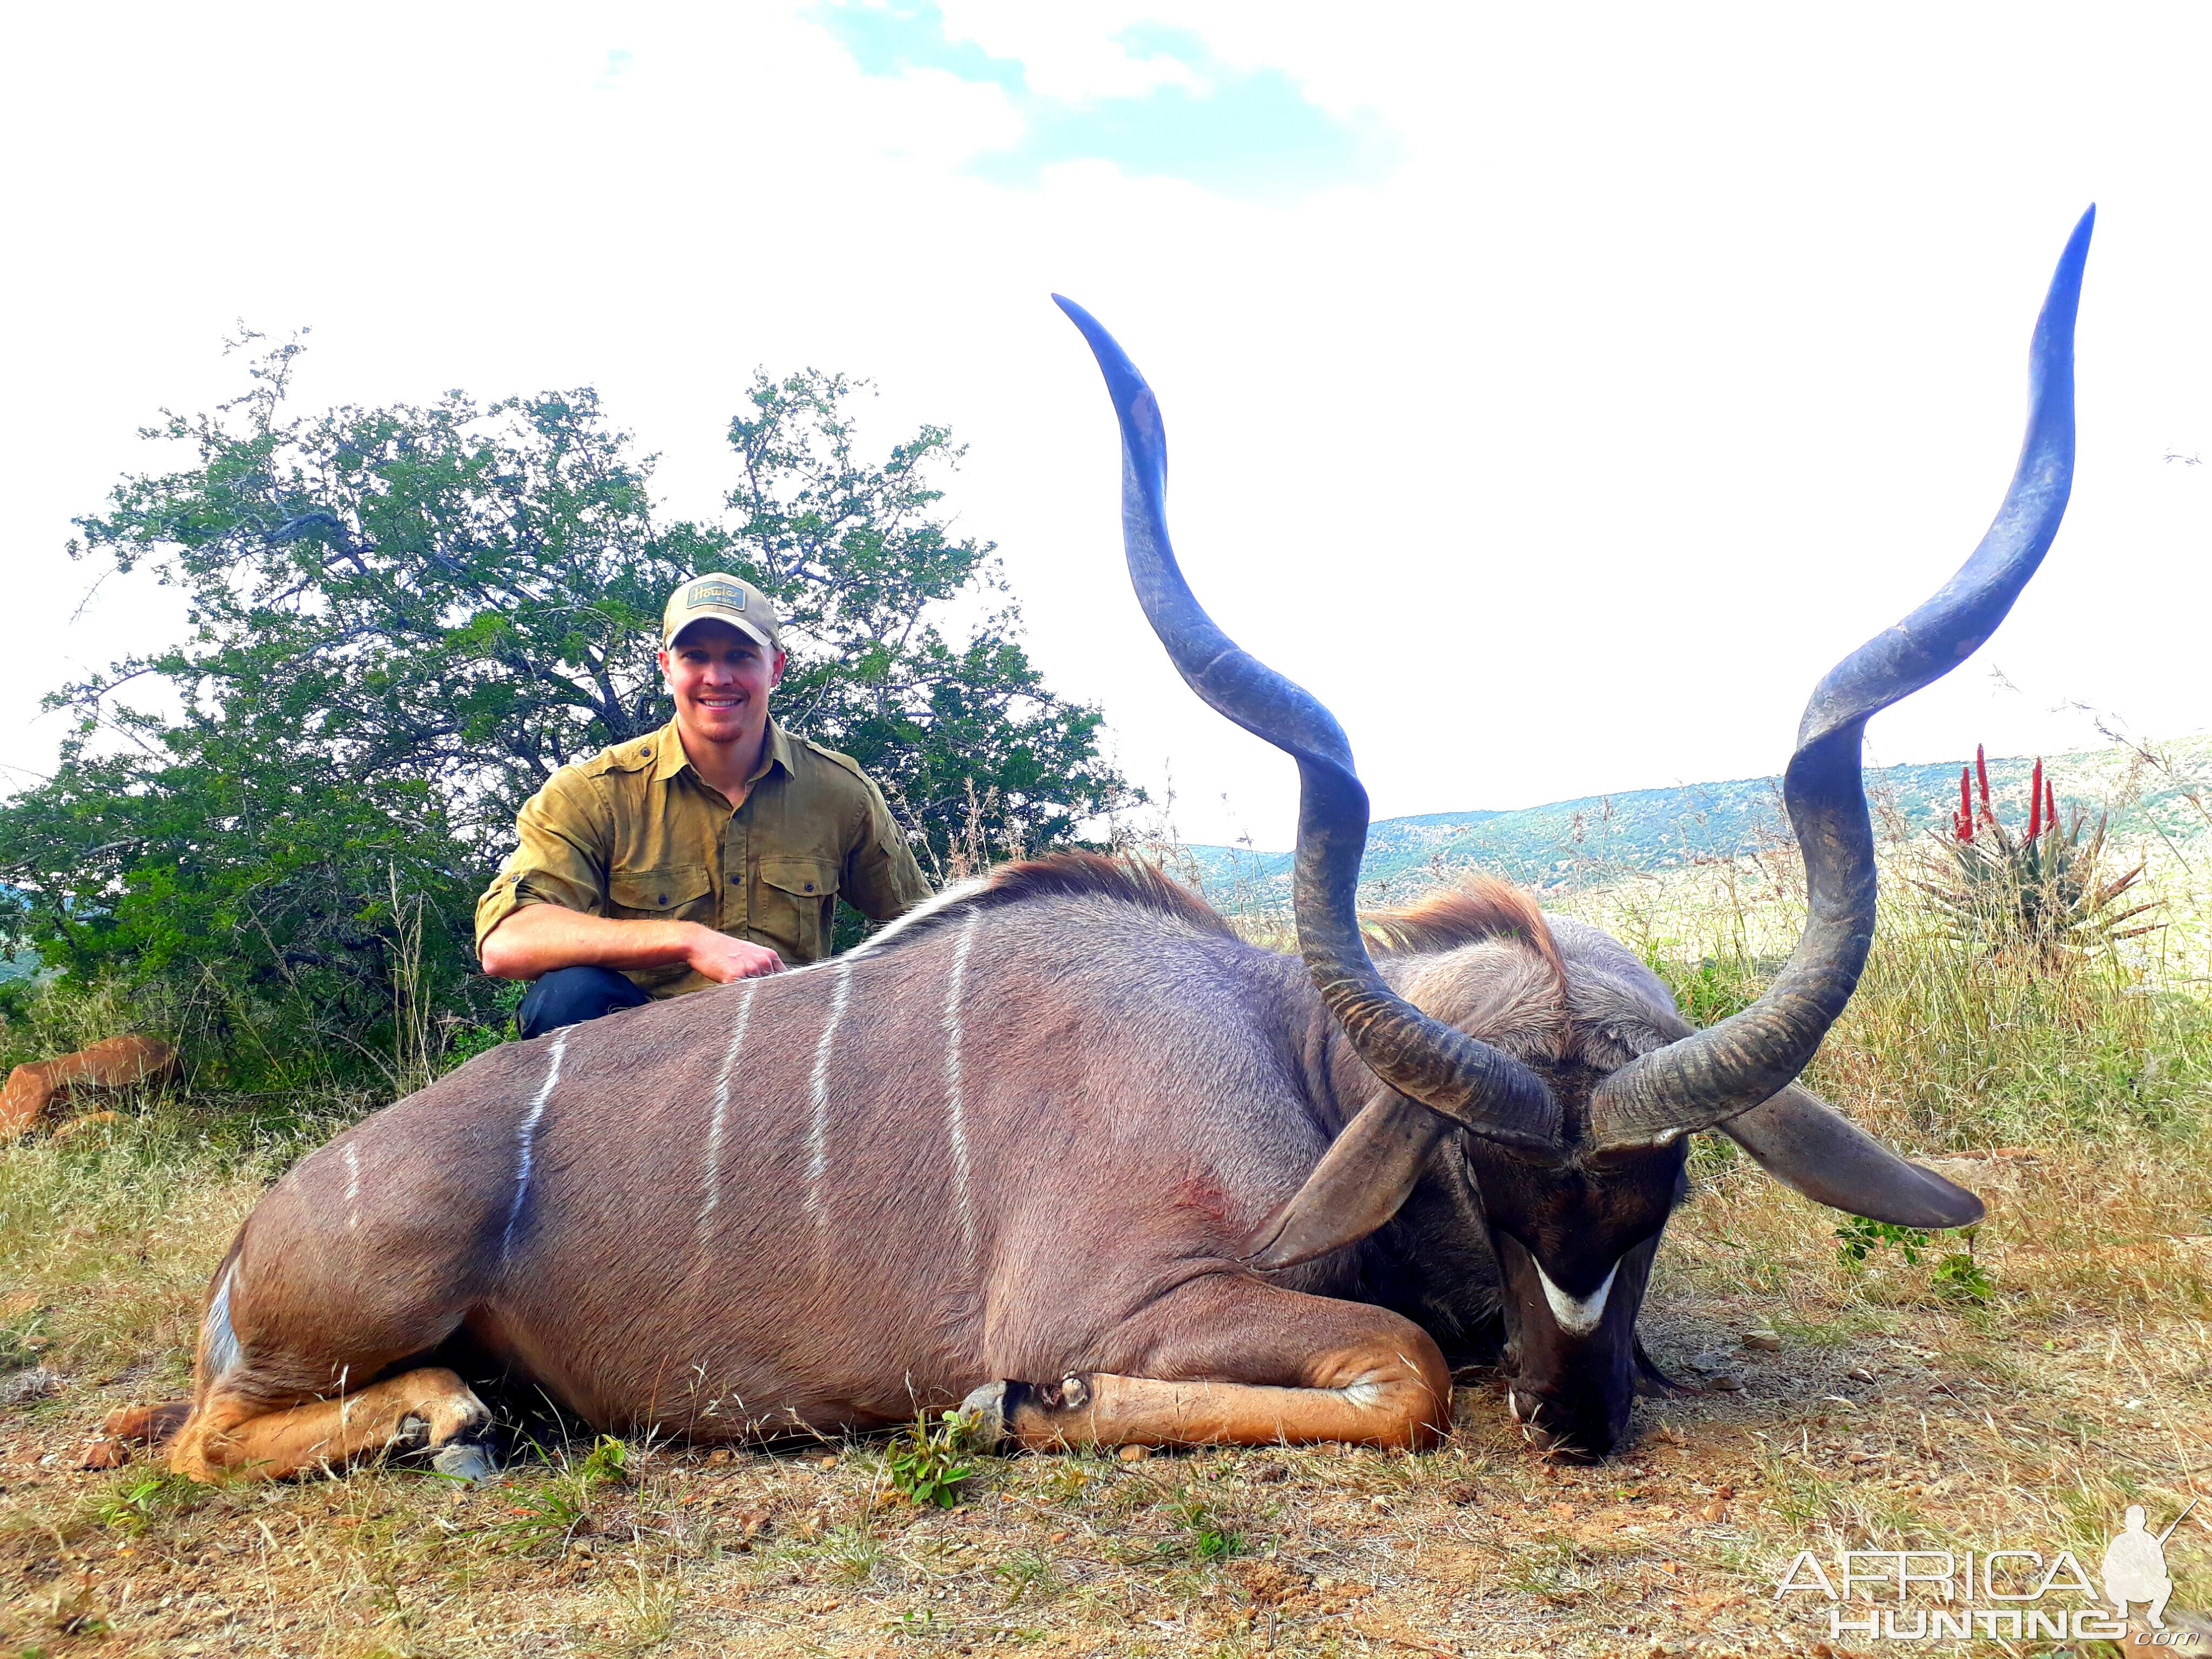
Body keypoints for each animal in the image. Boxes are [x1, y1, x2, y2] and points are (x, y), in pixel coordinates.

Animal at [129, 211, 2097, 1478]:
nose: (1577, 1420)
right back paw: (441, 1421)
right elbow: (1401, 1370)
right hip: (359, 1297)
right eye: (1478, 1180)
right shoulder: (1139, 1295)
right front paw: (1012, 1408)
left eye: (1665, 1191)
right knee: (206, 1434)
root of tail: (256, 1235)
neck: (1289, 1058)